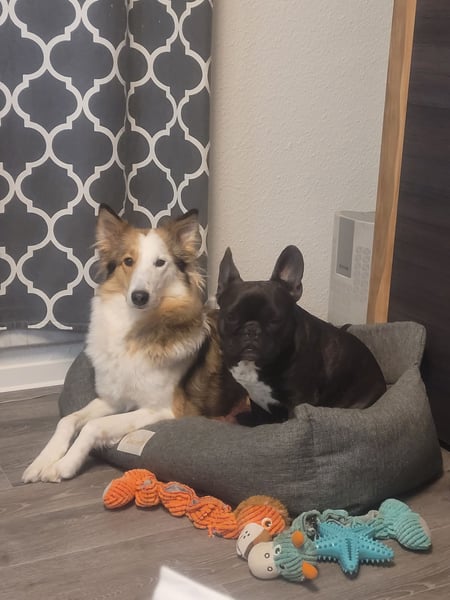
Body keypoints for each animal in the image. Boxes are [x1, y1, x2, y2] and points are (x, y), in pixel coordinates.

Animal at [22, 206, 246, 483]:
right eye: (128, 261)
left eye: (160, 263)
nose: (139, 297)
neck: (133, 329)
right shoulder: (111, 400)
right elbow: (68, 420)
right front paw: (43, 461)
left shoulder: (162, 409)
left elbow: (93, 426)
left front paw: (64, 464)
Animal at [216, 245, 387, 425]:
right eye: (231, 317)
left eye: (275, 320)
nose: (251, 330)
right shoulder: (254, 396)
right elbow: (259, 415)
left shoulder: (298, 400)